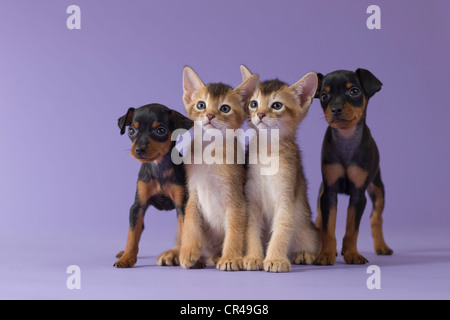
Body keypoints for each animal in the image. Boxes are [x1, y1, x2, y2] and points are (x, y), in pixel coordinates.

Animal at [113, 104, 192, 268]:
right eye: (131, 130)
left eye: (161, 131)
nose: (139, 149)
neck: (158, 166)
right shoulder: (138, 207)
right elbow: (132, 235)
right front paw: (127, 258)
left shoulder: (181, 206)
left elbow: (186, 232)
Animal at [178, 66, 258, 272]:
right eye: (201, 105)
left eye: (225, 108)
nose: (210, 115)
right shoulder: (193, 191)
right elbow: (190, 221)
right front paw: (187, 250)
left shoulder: (236, 197)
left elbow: (235, 229)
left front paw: (230, 257)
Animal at [241, 65, 322, 272]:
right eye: (254, 104)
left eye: (277, 105)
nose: (260, 114)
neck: (267, 155)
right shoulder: (251, 201)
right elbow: (250, 230)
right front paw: (253, 257)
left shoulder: (286, 198)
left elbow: (281, 231)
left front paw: (275, 259)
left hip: (306, 228)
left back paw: (304, 254)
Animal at [312, 69, 394, 264]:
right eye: (324, 95)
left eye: (354, 91)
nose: (335, 109)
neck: (346, 138)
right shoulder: (329, 193)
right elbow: (327, 227)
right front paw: (326, 254)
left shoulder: (358, 195)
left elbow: (352, 229)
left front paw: (351, 254)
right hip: (322, 191)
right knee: (319, 218)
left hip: (378, 189)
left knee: (375, 218)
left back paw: (382, 246)